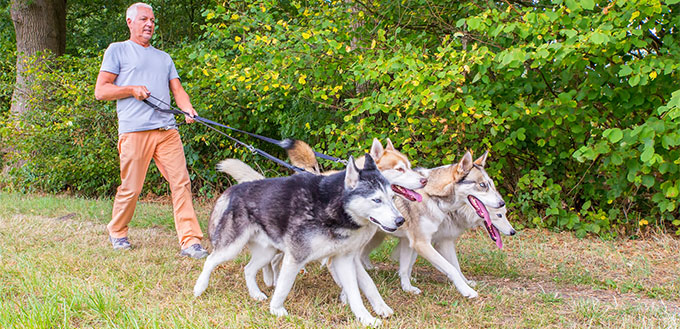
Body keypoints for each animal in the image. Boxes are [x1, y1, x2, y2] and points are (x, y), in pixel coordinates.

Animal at [191, 154, 404, 326]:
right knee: (210, 260)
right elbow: (283, 287)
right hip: (232, 248)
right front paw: (276, 310)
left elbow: (359, 291)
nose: (400, 220)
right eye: (377, 200)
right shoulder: (296, 257)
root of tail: (236, 188)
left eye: (393, 197)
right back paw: (199, 287)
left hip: (266, 252)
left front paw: (367, 318)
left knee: (248, 269)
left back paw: (256, 294)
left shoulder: (344, 260)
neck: (330, 206)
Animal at [364, 151, 516, 294]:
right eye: (482, 185)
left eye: (490, 184)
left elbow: (453, 267)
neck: (432, 196)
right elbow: (451, 268)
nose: (513, 232)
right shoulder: (422, 243)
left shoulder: (434, 241)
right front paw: (467, 291)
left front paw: (408, 286)